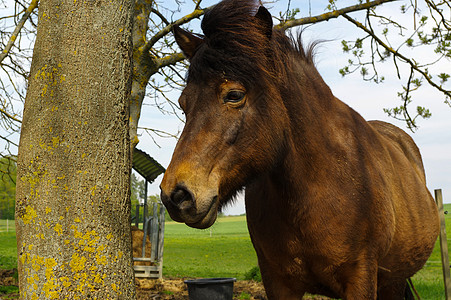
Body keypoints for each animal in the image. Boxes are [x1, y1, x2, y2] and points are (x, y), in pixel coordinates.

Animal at [160, 1, 442, 298]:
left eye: (234, 95)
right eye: (183, 103)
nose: (176, 195)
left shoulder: (361, 278)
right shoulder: (277, 282)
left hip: (393, 281)